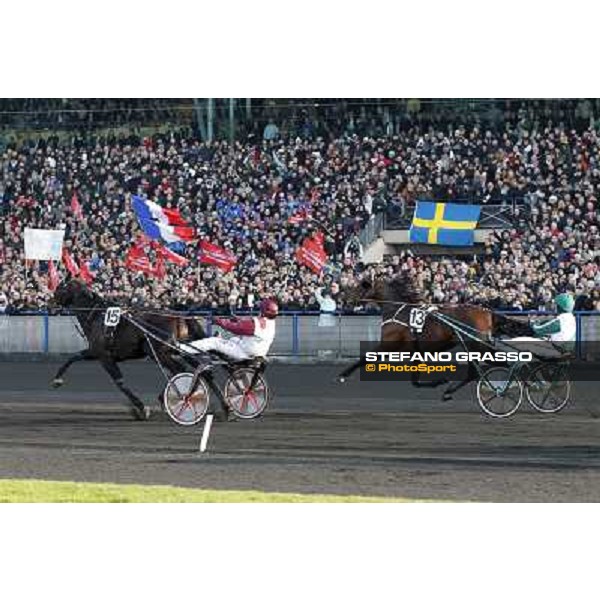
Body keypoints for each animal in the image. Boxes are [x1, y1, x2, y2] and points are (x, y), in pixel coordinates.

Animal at [49, 278, 204, 420]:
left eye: (59, 288)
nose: (50, 303)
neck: (96, 317)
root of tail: (179, 317)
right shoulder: (93, 352)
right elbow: (73, 357)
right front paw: (57, 380)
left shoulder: (104, 356)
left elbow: (120, 382)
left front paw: (141, 408)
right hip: (171, 351)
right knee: (185, 370)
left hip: (157, 352)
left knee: (179, 370)